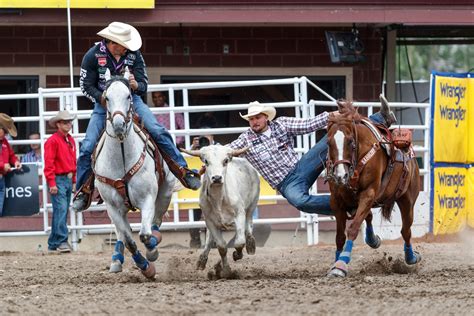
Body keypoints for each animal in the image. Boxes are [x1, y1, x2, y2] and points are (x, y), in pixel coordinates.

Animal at [91, 68, 175, 278]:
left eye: (129, 95)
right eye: (107, 97)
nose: (119, 124)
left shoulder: (148, 198)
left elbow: (145, 234)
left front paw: (152, 252)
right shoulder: (112, 206)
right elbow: (129, 240)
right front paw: (146, 267)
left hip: (166, 192)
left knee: (156, 222)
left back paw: (155, 239)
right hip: (118, 209)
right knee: (122, 233)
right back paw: (116, 259)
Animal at [326, 100, 422, 278]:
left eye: (351, 142)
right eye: (328, 143)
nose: (340, 176)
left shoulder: (369, 194)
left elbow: (353, 228)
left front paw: (341, 265)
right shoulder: (336, 200)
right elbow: (339, 237)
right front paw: (335, 264)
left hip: (407, 199)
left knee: (406, 231)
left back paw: (411, 258)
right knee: (369, 216)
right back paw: (373, 240)